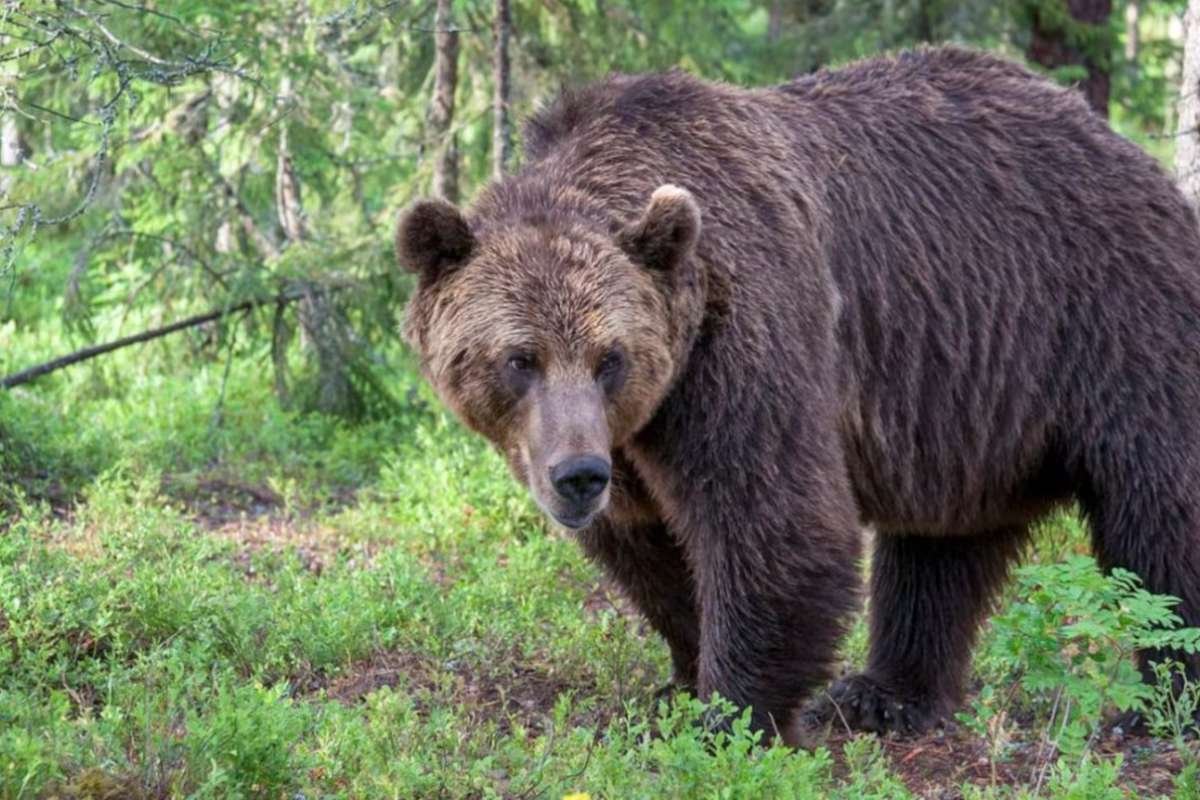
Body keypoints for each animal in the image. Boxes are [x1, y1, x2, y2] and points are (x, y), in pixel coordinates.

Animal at [395, 46, 1200, 742]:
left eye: (610, 358)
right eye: (520, 358)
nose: (577, 476)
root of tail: (1132, 153)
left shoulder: (745, 336)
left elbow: (773, 518)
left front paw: (730, 716)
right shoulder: (635, 436)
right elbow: (649, 546)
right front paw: (679, 681)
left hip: (1113, 318)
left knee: (1162, 513)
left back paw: (1156, 707)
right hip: (971, 398)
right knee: (940, 549)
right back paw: (884, 694)